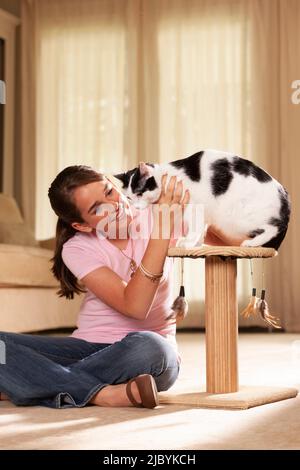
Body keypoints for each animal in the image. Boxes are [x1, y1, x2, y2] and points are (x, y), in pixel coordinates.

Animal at [113, 150, 290, 252]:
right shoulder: (203, 211)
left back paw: (251, 244)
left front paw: (188, 243)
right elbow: (201, 227)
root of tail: (285, 196)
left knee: (274, 227)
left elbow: (195, 227)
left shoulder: (194, 206)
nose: (136, 207)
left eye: (139, 193)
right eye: (129, 197)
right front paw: (197, 244)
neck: (167, 176)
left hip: (236, 218)